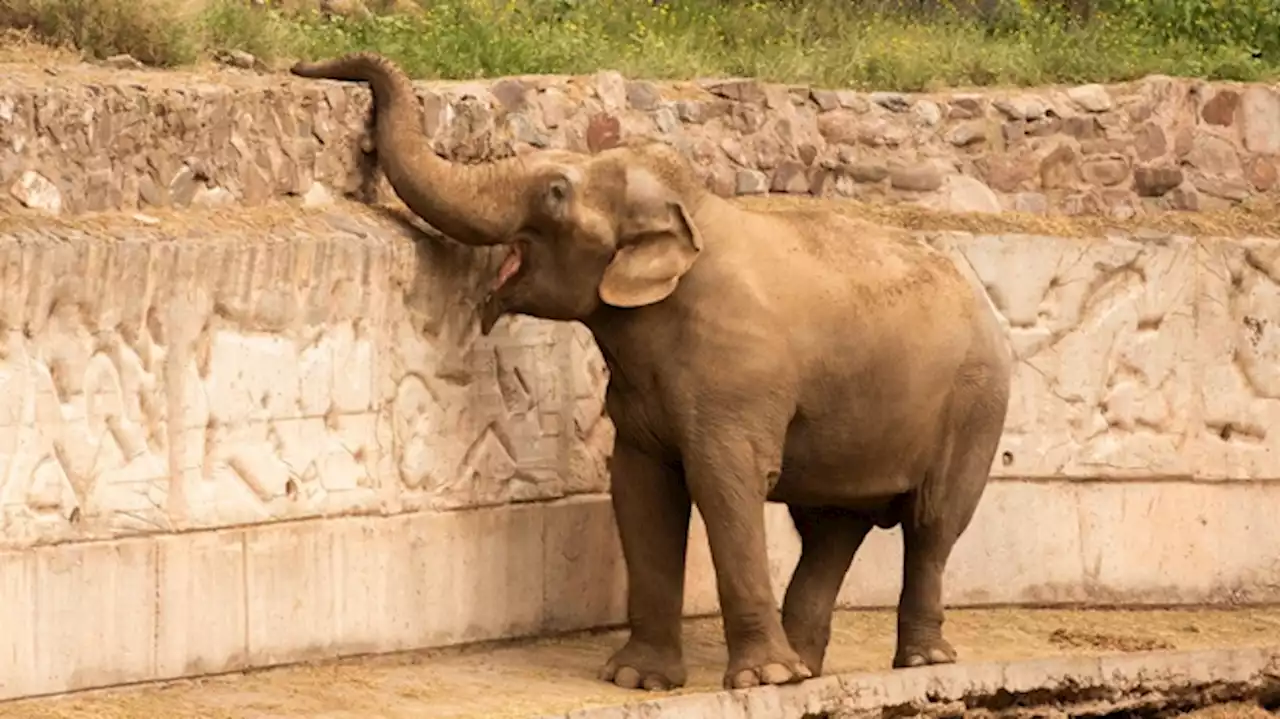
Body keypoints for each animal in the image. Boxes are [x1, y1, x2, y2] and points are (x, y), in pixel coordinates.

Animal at [294, 50, 1013, 690]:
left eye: (555, 192)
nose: (307, 67)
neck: (694, 213)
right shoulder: (641, 397)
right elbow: (640, 491)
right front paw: (639, 679)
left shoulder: (736, 385)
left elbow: (725, 487)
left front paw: (757, 680)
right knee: (831, 528)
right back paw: (805, 668)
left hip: (977, 406)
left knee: (933, 524)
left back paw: (912, 662)